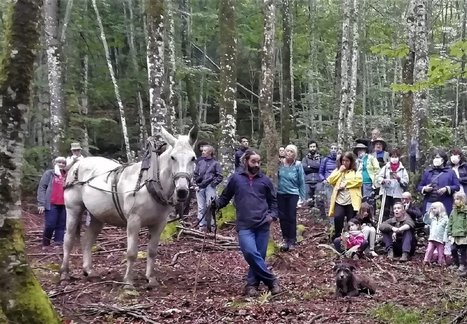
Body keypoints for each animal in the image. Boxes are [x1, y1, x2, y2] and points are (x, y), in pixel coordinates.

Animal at [59, 128, 197, 288]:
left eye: (193, 158)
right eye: (173, 157)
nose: (182, 191)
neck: (150, 183)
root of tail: (77, 164)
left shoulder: (159, 223)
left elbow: (152, 251)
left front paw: (151, 279)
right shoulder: (134, 221)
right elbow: (131, 252)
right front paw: (128, 282)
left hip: (97, 216)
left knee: (87, 240)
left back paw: (89, 270)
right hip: (73, 210)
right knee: (68, 240)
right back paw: (64, 273)